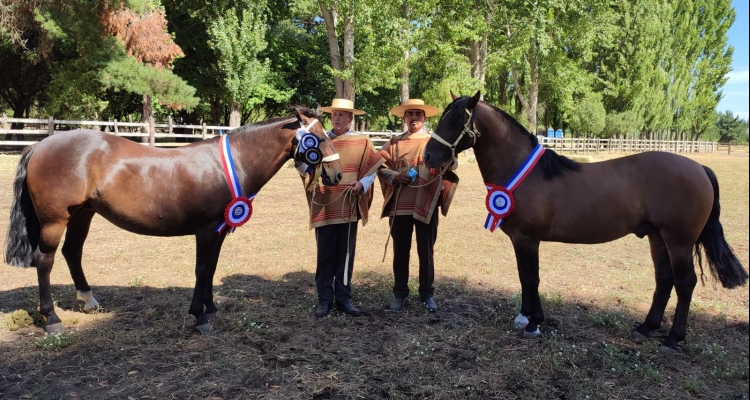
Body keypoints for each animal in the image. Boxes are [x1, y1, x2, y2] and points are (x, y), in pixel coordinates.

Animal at [2, 106, 344, 334]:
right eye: (316, 138)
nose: (336, 174)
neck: (230, 164)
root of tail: (40, 144)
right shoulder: (205, 230)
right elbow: (202, 269)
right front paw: (199, 316)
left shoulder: (218, 230)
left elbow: (211, 269)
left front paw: (211, 307)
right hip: (54, 220)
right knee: (44, 262)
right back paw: (52, 319)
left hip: (82, 214)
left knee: (72, 252)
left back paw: (88, 300)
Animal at [426, 93, 748, 350]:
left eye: (457, 120)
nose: (429, 155)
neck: (524, 172)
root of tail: (700, 167)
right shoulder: (520, 240)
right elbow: (523, 277)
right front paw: (525, 317)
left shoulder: (527, 239)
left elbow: (531, 278)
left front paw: (533, 323)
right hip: (658, 238)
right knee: (664, 279)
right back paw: (646, 327)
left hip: (678, 240)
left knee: (685, 283)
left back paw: (673, 339)